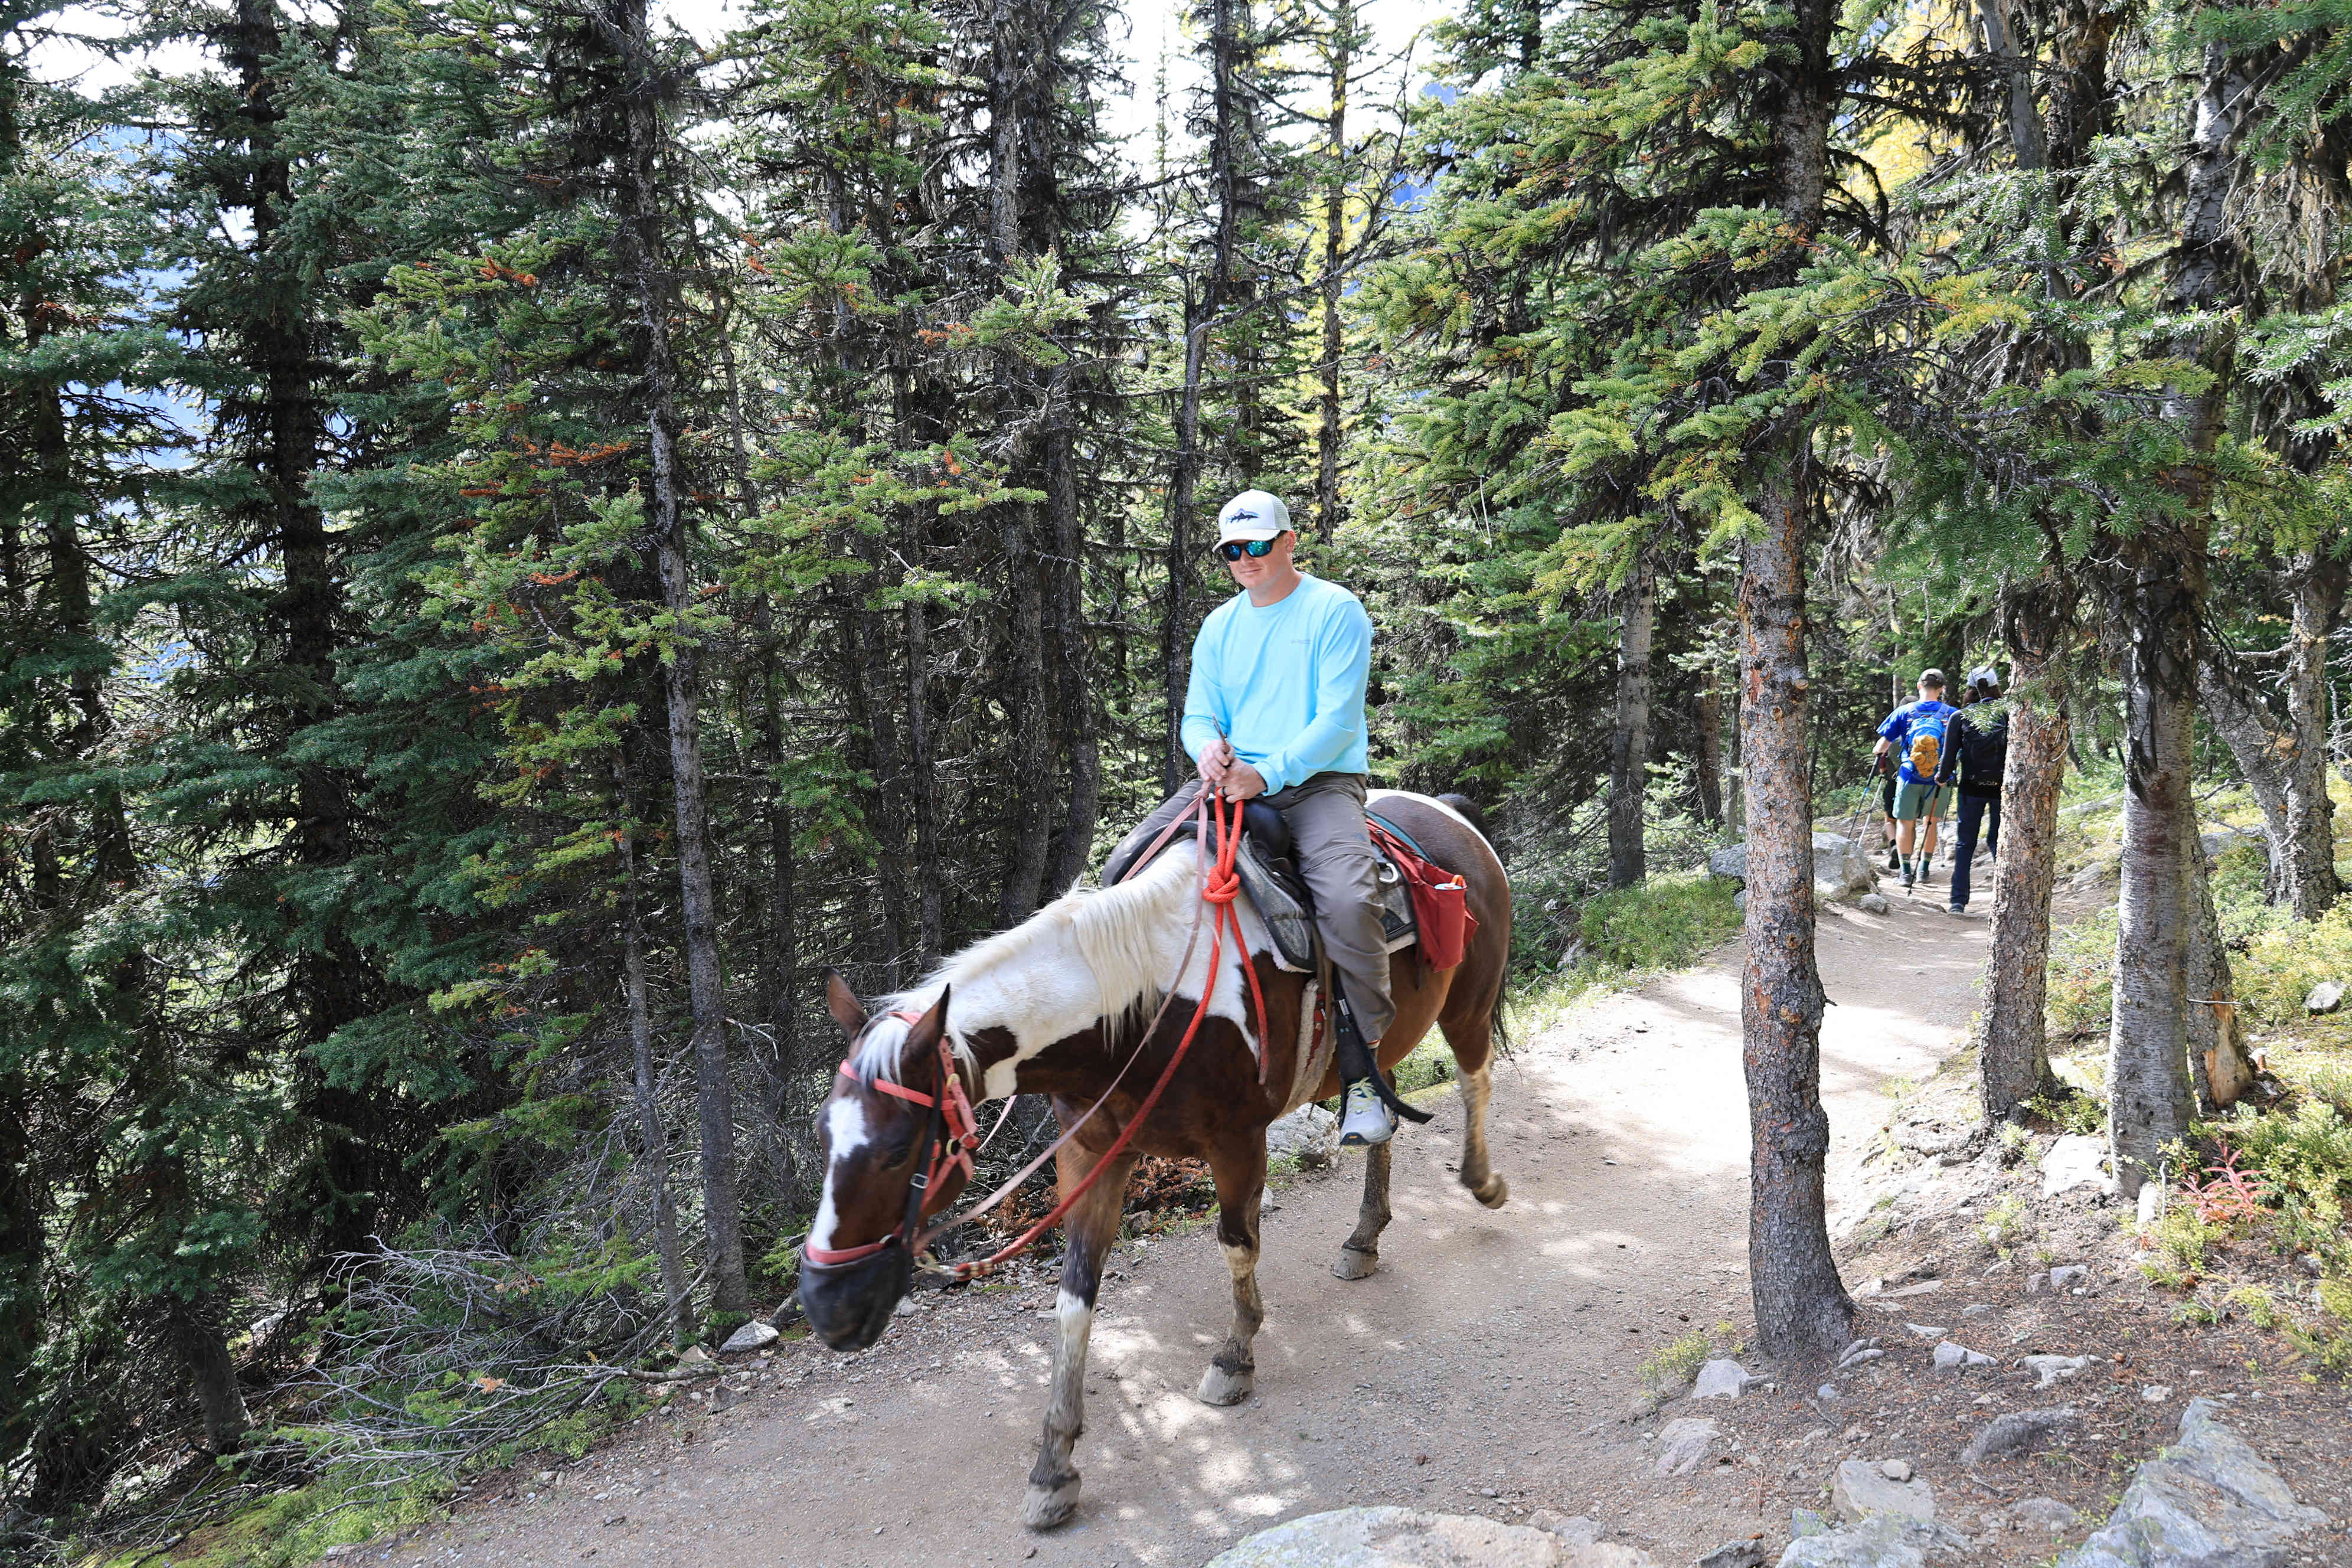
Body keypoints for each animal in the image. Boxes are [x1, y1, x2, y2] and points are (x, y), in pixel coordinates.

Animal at [799, 789, 1514, 1523]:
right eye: (822, 1131)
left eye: (895, 1151)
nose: (827, 1307)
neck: (1148, 1000)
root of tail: (1448, 810)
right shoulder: (1090, 1155)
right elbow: (1075, 1297)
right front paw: (1054, 1465)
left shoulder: (1237, 1141)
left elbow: (1237, 1245)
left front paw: (1233, 1360)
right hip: (1377, 1048)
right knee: (1385, 1112)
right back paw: (1363, 1239)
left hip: (1468, 1002)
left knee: (1474, 1076)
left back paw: (1483, 1181)